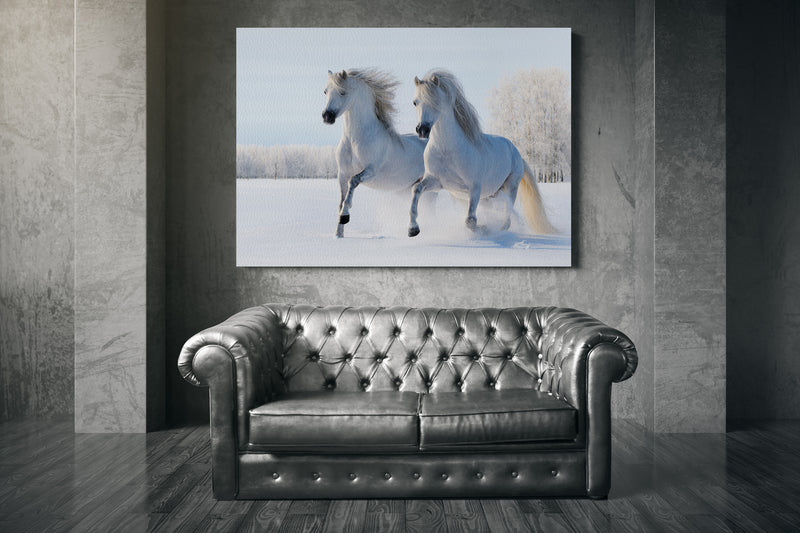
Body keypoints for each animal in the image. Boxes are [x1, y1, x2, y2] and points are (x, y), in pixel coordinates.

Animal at [320, 68, 428, 237]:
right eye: (325, 91)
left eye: (343, 92)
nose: (327, 116)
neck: (355, 140)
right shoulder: (342, 174)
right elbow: (341, 201)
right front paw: (338, 235)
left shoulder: (371, 171)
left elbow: (353, 183)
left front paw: (345, 216)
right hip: (408, 188)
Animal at [410, 69, 552, 236]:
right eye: (415, 102)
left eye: (436, 101)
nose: (422, 130)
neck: (447, 150)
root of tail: (516, 153)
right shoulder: (437, 182)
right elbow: (416, 189)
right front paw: (413, 229)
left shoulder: (475, 188)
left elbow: (470, 220)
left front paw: (484, 229)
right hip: (488, 196)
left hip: (511, 186)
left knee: (508, 215)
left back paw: (500, 230)